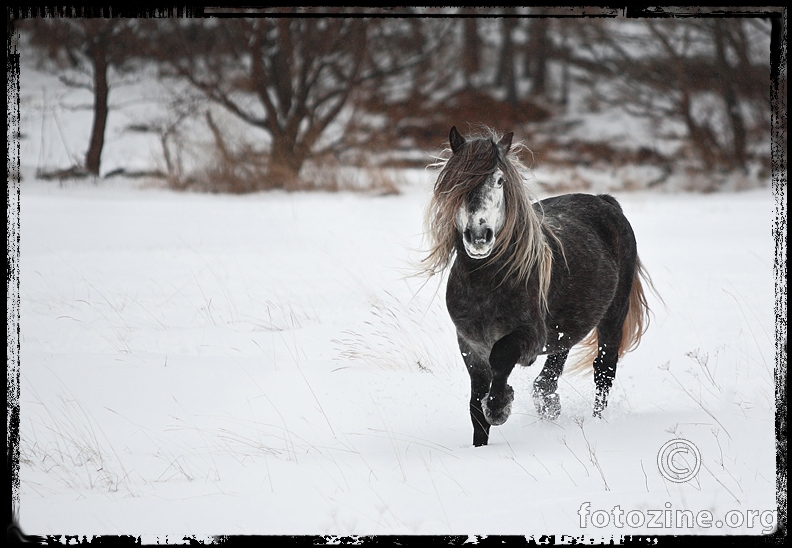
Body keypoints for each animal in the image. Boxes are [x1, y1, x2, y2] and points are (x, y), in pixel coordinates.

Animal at [424, 127, 652, 446]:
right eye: (456, 181)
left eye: (499, 180)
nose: (479, 236)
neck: (487, 283)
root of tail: (604, 201)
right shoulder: (470, 345)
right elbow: (475, 405)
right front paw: (480, 447)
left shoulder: (529, 338)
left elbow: (501, 357)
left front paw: (500, 406)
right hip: (566, 326)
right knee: (552, 372)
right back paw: (549, 406)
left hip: (613, 316)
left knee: (604, 370)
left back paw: (598, 423)